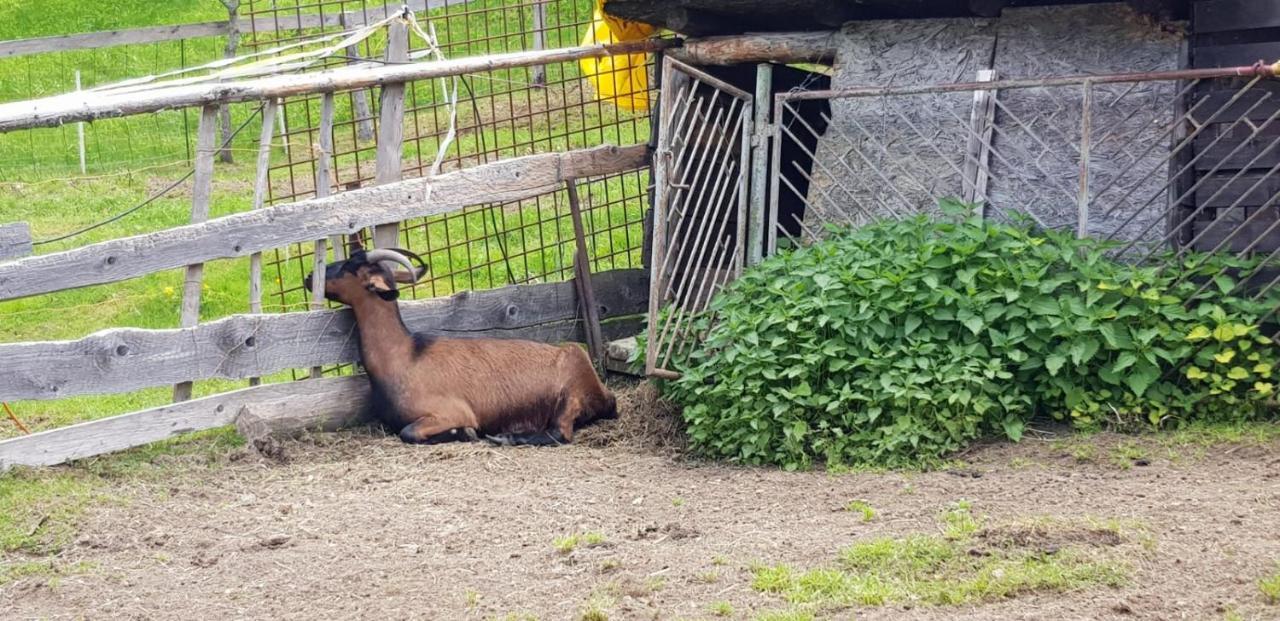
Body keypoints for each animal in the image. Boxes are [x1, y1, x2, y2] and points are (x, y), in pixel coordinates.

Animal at [304, 244, 614, 443]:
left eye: (350, 266)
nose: (308, 277)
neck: (405, 355)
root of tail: (605, 394)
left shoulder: (450, 411)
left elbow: (409, 432)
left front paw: (465, 433)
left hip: (570, 387)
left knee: (561, 433)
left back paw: (507, 437)